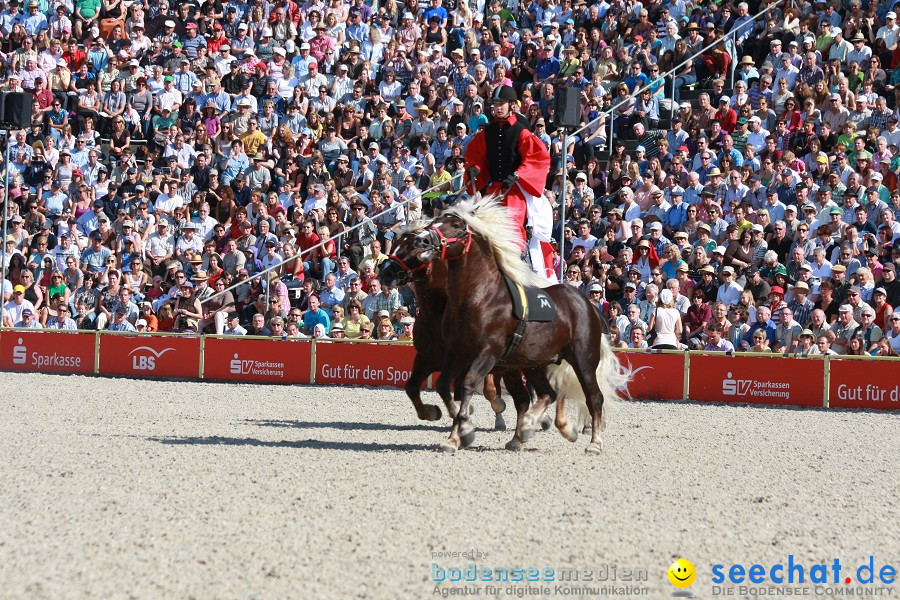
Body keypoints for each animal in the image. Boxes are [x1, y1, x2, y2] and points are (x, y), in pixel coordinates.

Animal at [378, 197, 624, 454]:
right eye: (434, 222)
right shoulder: (450, 355)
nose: (385, 272)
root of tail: (585, 304)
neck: (479, 298)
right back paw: (524, 432)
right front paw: (452, 432)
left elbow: (466, 387)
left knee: (592, 397)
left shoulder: (487, 354)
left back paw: (590, 441)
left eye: (456, 225)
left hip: (582, 359)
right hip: (534, 364)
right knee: (545, 394)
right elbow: (438, 387)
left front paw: (465, 430)